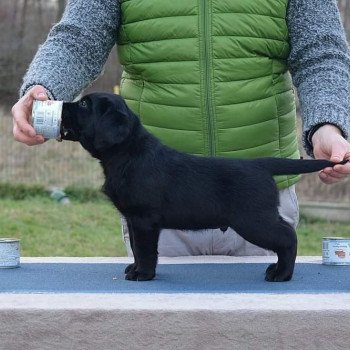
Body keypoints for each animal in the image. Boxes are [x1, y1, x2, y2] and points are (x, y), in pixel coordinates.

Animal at [61, 92, 346, 282]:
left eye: (84, 104)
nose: (63, 105)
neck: (128, 152)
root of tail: (261, 164)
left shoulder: (144, 219)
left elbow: (145, 249)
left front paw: (143, 274)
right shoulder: (133, 219)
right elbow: (136, 249)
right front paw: (134, 268)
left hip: (252, 220)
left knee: (288, 237)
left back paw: (282, 273)